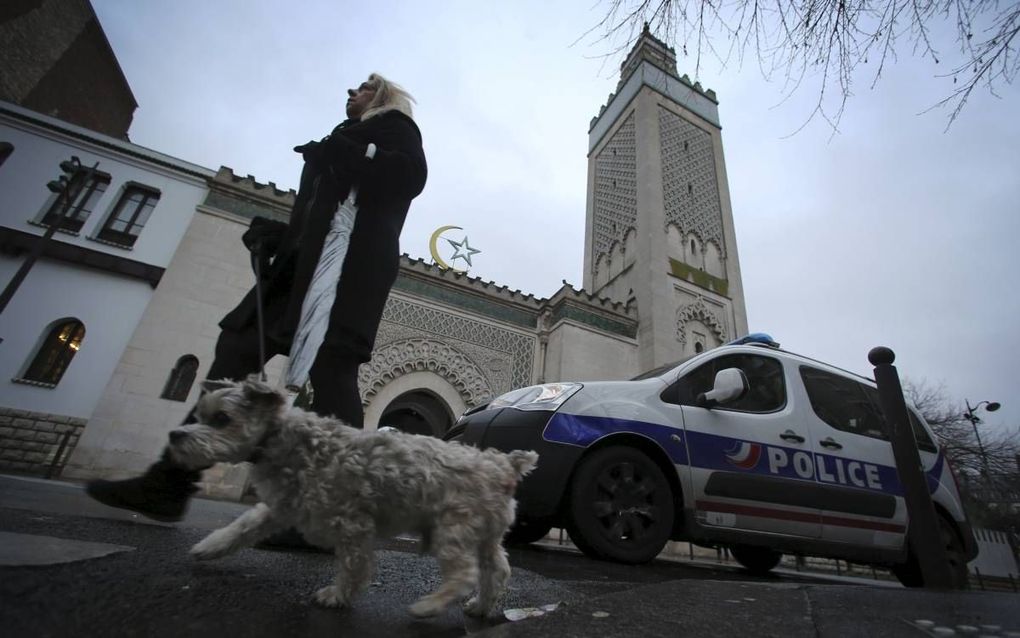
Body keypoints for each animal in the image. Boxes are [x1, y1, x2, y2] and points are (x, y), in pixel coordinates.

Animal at [167, 377, 538, 616]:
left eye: (222, 418)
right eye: (200, 415)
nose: (175, 435)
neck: (284, 439)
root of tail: (503, 463)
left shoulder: (352, 522)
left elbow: (354, 564)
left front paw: (337, 595)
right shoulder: (281, 505)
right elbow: (242, 527)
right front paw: (210, 547)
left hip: (453, 527)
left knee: (464, 574)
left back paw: (430, 606)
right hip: (486, 532)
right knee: (497, 569)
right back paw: (481, 607)